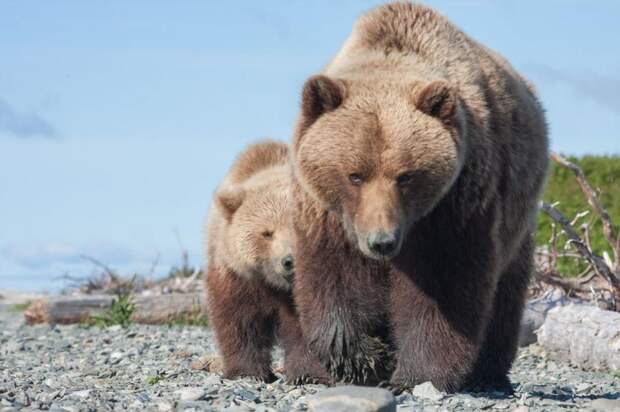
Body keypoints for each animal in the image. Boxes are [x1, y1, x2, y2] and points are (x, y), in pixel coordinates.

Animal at [290, 0, 548, 392]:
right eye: (355, 175)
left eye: (406, 176)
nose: (382, 242)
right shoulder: (329, 215)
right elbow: (333, 278)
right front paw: (364, 358)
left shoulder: (454, 203)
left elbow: (441, 285)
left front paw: (414, 374)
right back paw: (305, 370)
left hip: (517, 215)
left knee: (506, 292)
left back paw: (489, 373)